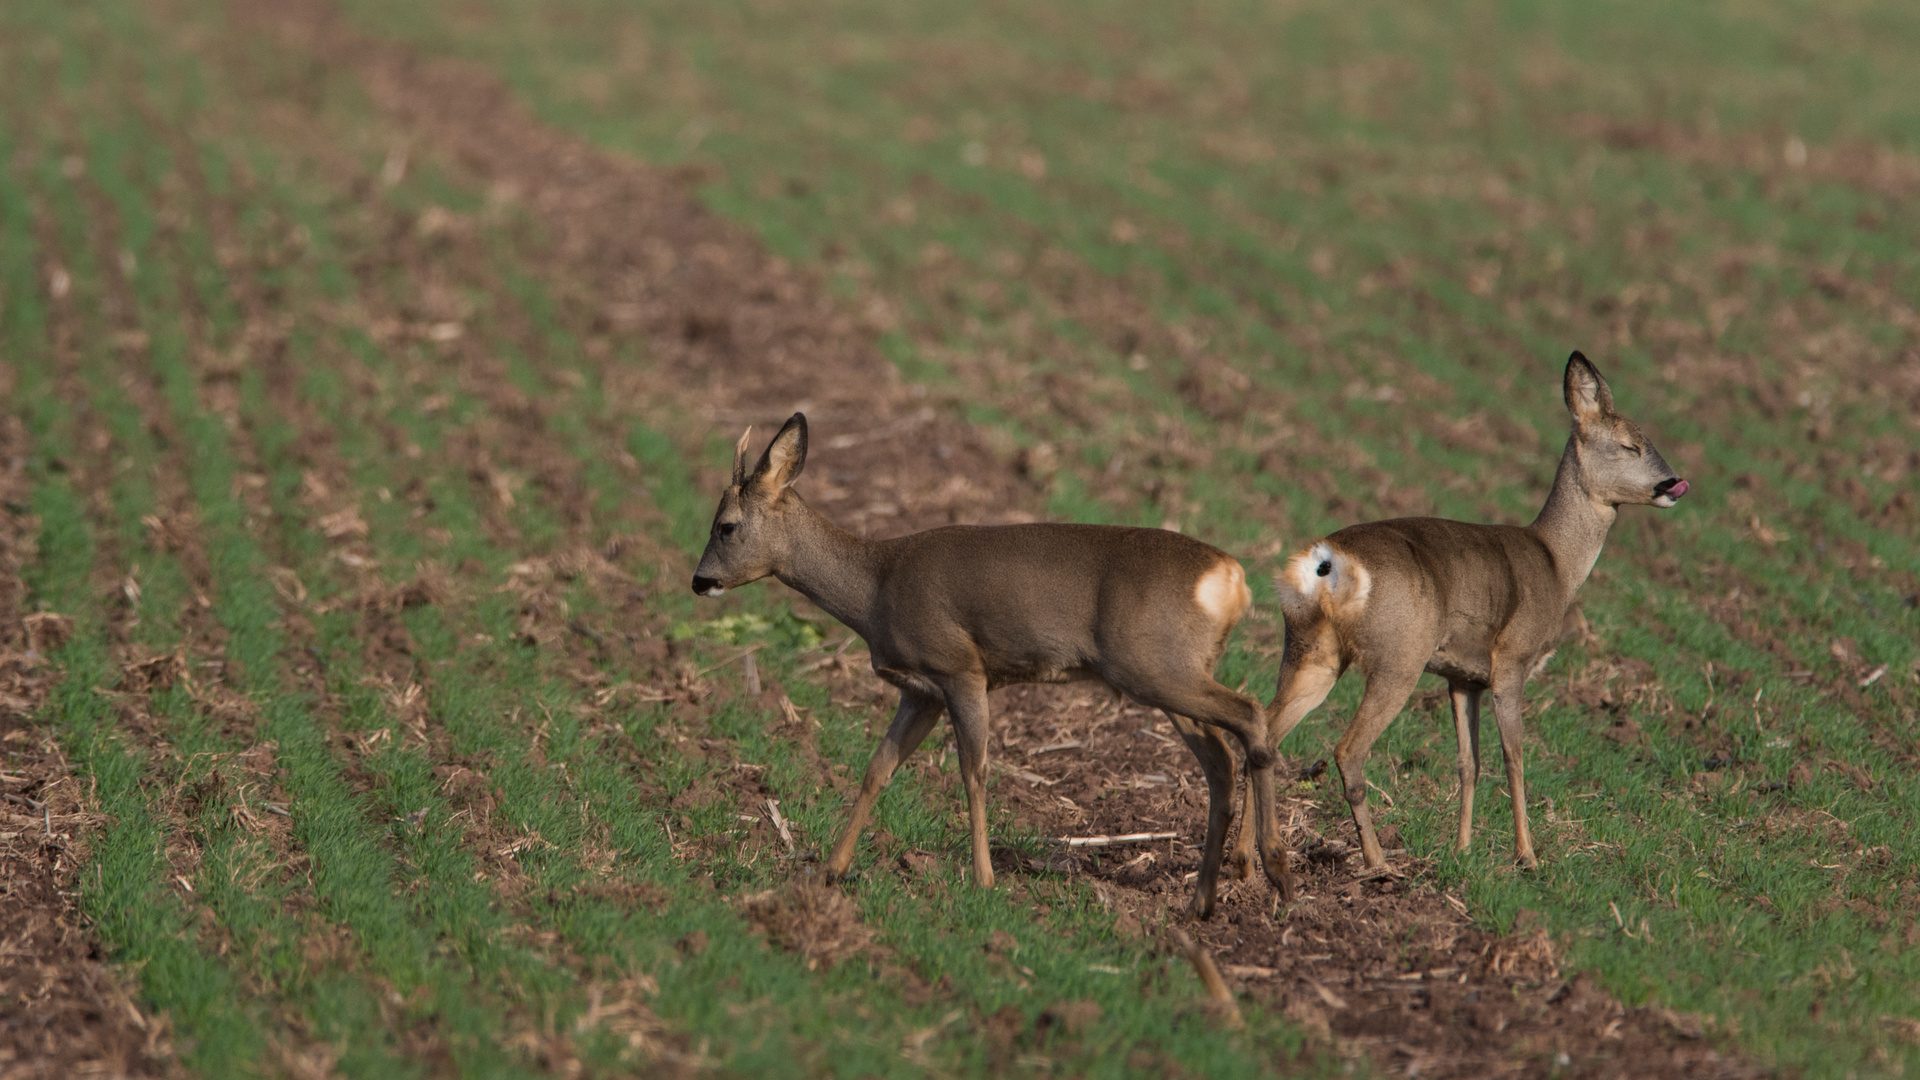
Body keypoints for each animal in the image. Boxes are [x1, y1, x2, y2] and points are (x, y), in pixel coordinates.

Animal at [687, 409, 1290, 907]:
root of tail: (1232, 578)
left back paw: (1267, 865)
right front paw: (829, 872)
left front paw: (983, 880)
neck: (875, 587)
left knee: (1251, 716)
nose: (698, 581)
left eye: (726, 526)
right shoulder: (921, 690)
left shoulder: (961, 668)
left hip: (1155, 665)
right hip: (1171, 672)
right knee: (1223, 756)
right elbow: (878, 769)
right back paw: (1207, 898)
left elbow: (973, 770)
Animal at [1236, 349, 1689, 880]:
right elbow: (1514, 756)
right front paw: (1527, 856)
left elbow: (1467, 762)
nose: (1673, 484)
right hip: (1398, 657)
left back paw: (1247, 862)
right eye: (1628, 445)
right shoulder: (1512, 661)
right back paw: (1378, 862)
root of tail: (1326, 563)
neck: (1557, 563)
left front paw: (1463, 849)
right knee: (1348, 750)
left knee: (1264, 736)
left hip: (1310, 650)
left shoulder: (1462, 676)